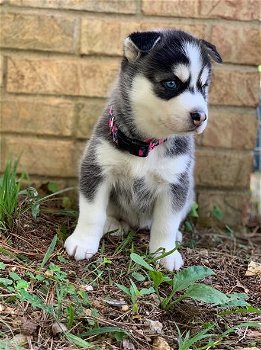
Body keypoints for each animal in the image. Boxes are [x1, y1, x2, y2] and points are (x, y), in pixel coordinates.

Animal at [64, 30, 220, 270]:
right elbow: (92, 212)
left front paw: (164, 252)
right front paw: (83, 242)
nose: (200, 116)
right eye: (171, 83)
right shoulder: (97, 168)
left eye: (203, 86)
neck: (146, 145)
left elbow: (166, 222)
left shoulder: (176, 182)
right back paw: (112, 223)